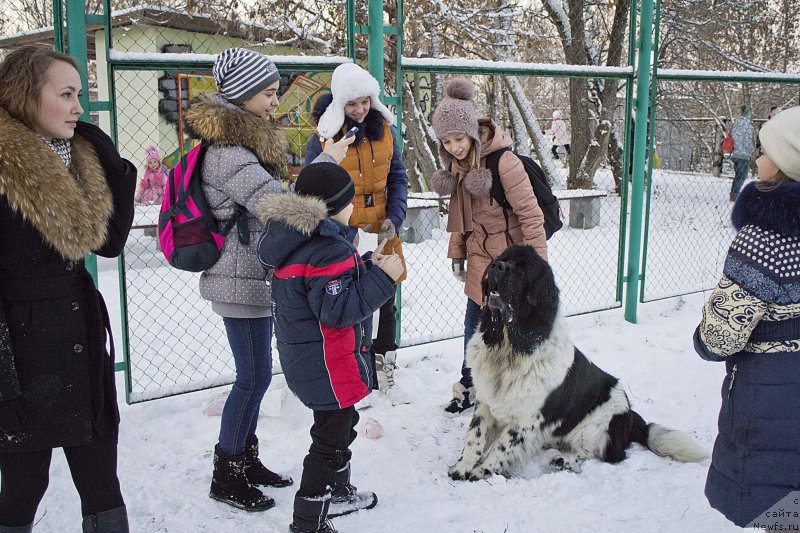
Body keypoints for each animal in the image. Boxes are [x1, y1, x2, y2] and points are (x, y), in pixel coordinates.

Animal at [450, 243, 708, 480]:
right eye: (503, 258)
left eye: (523, 269)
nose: (496, 266)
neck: (509, 344)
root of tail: (632, 416)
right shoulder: (486, 402)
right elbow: (475, 437)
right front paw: (462, 467)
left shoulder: (527, 417)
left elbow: (502, 445)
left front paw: (482, 470)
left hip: (599, 426)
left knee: (599, 454)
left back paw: (562, 460)